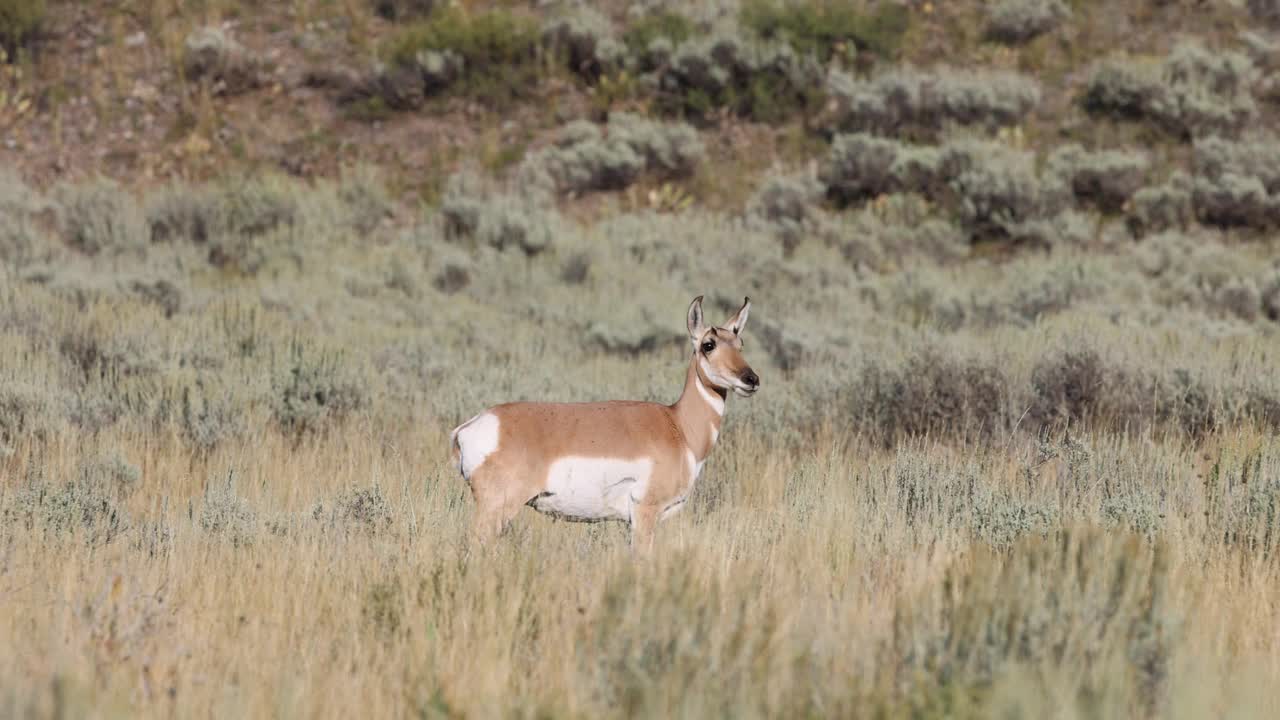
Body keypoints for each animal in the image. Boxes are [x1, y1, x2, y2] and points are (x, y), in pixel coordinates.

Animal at [448, 294, 752, 545]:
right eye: (708, 344)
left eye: (740, 344)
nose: (751, 379)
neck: (678, 425)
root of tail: (470, 426)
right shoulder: (645, 514)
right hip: (497, 509)